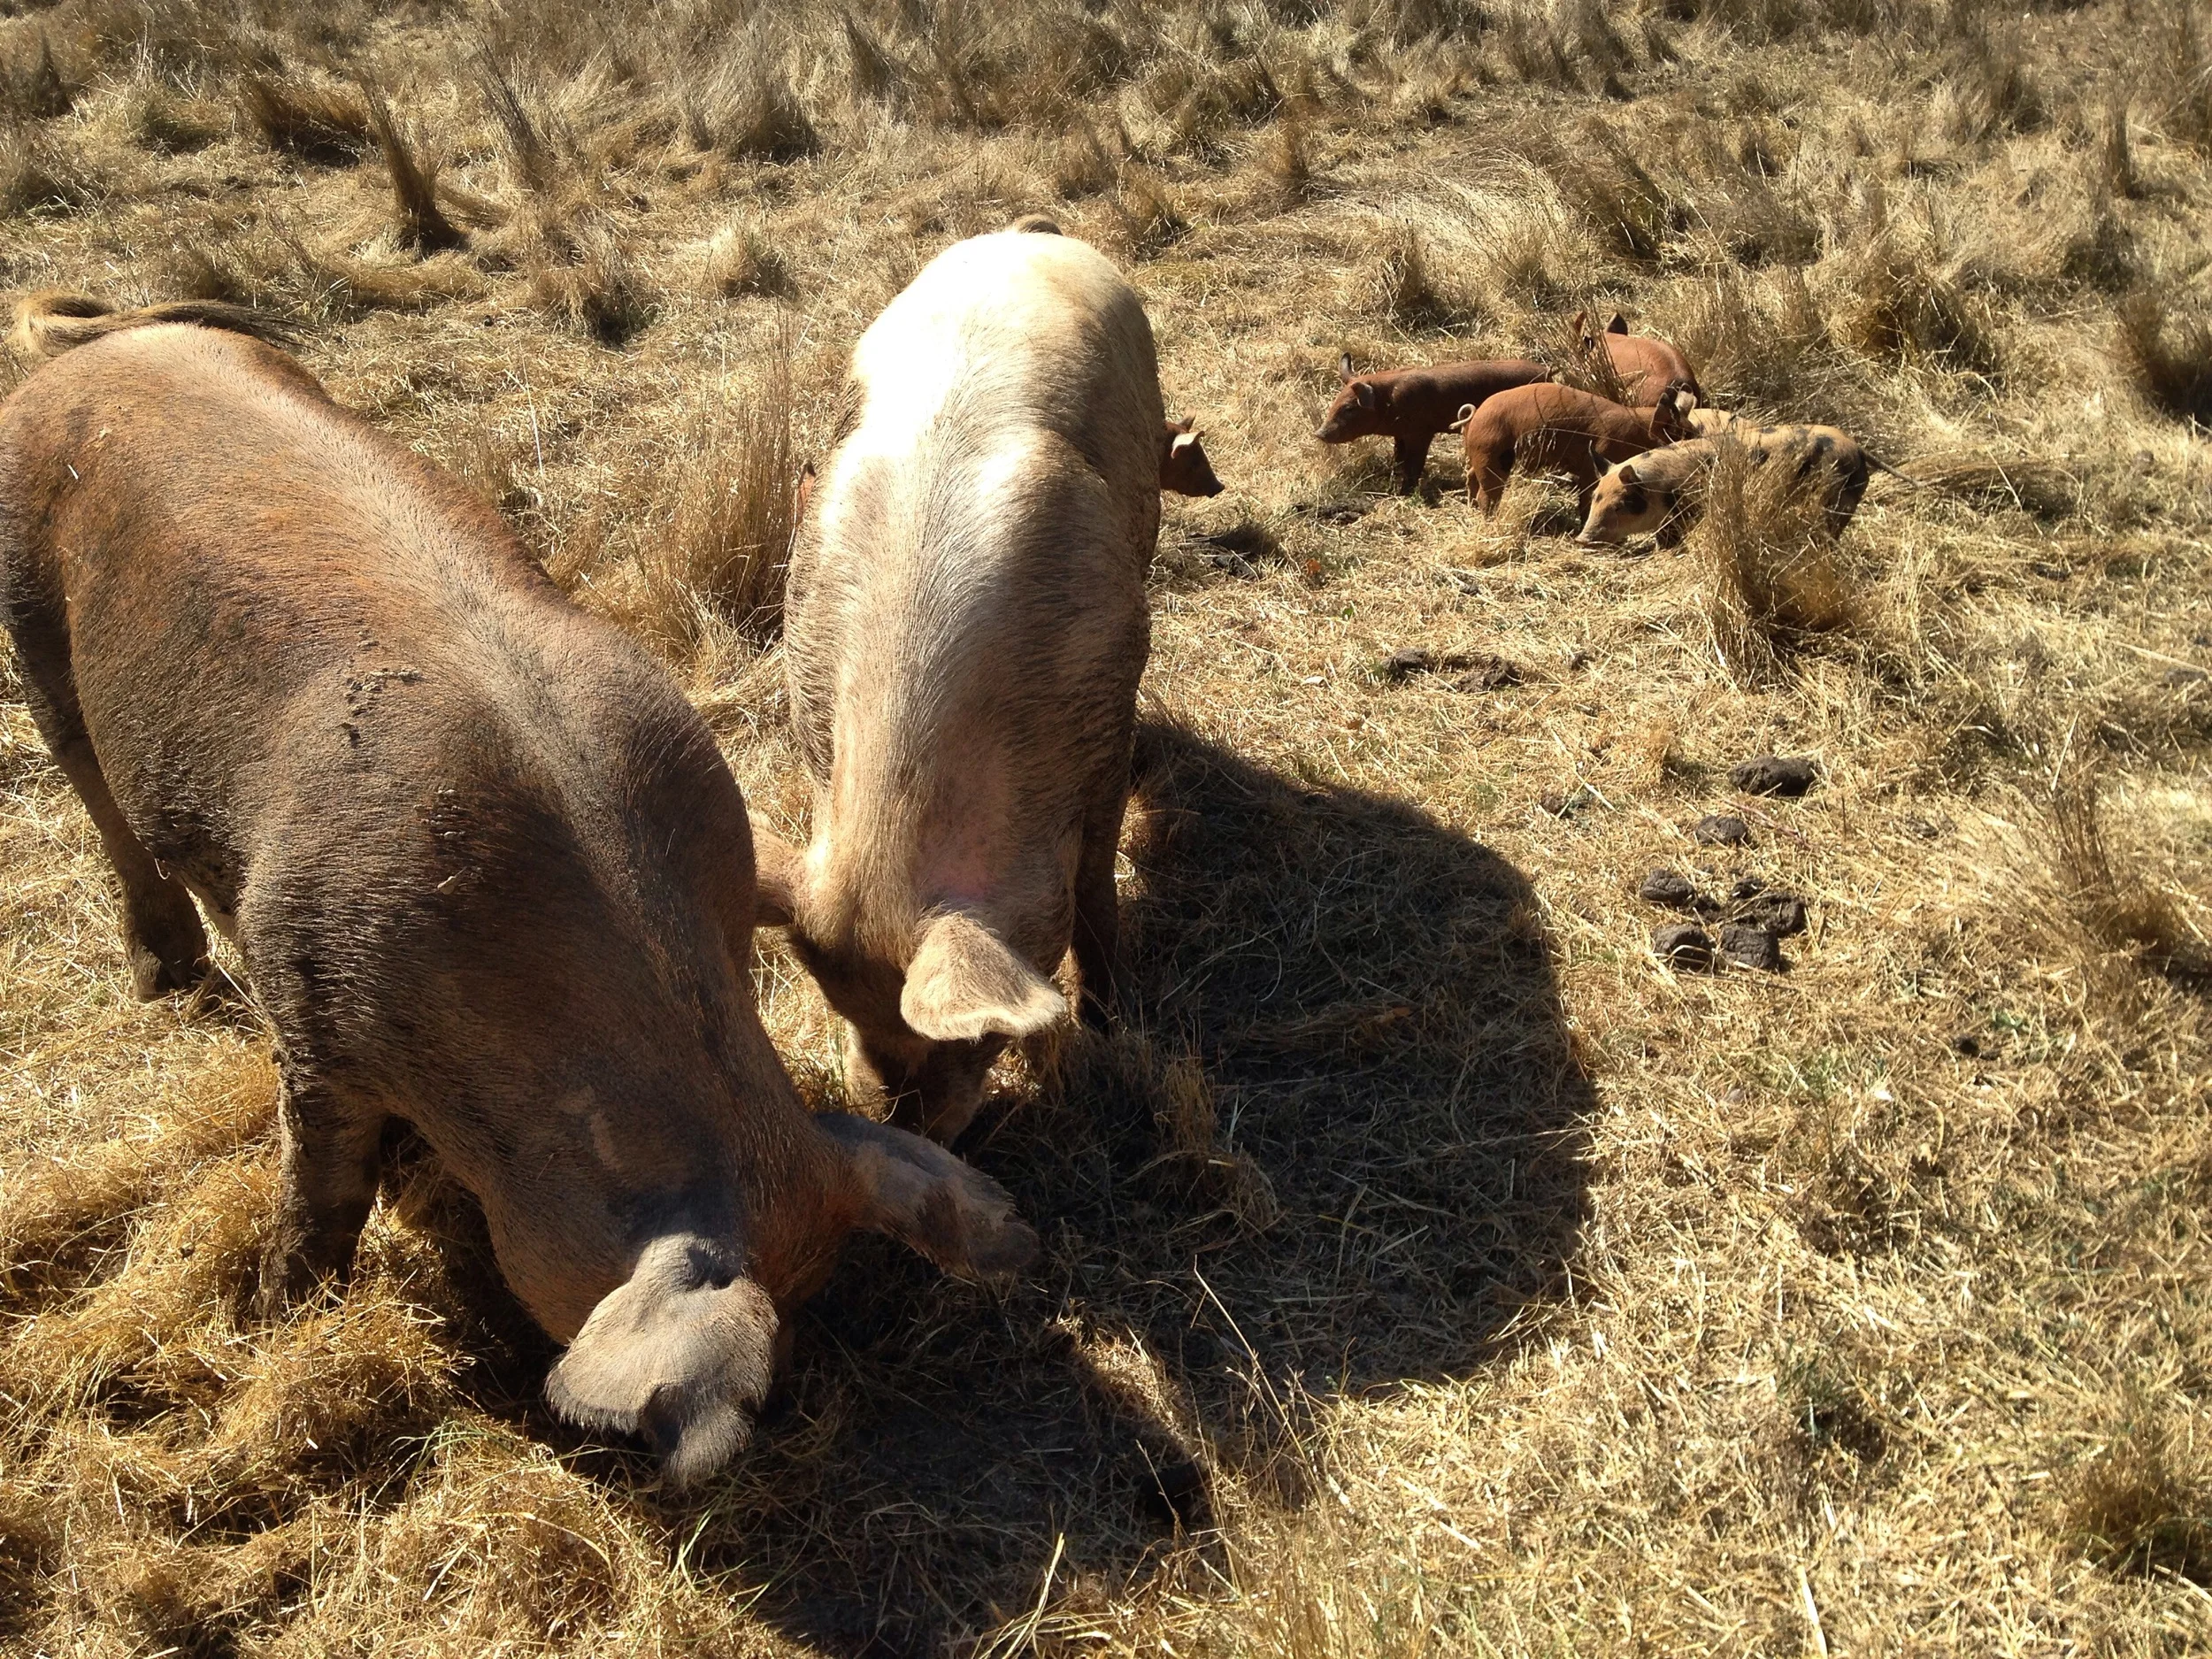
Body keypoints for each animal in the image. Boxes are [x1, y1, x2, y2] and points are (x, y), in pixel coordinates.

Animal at [0, 296, 1038, 1485]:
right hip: (31, 615)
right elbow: (323, 1189)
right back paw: (167, 981)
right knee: (99, 798)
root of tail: (92, 352)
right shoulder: (318, 1016)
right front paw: (278, 1315)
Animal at [754, 229, 1165, 1144]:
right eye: (842, 1005)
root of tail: (1026, 234)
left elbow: (1095, 891)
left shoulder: (1106, 722)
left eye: (976, 1037)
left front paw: (1109, 1025)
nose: (903, 1120)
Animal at [1315, 352, 1554, 493]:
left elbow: (1414, 464)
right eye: (1335, 401)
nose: (1319, 433)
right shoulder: (1401, 435)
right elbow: (1398, 458)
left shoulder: (1421, 433)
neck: (1389, 402)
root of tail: (1548, 374)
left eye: (1349, 408)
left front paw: (1404, 492)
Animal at [1454, 379, 1694, 515]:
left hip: (1482, 454)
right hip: (1491, 453)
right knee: (1488, 492)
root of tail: (1474, 417)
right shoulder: (1595, 461)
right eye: (1683, 435)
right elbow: (1587, 496)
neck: (1638, 434)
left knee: (1471, 475)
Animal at [1576, 419, 1878, 545]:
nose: (1582, 539)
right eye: (1595, 498)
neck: (1662, 488)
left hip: (1837, 499)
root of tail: (1857, 448)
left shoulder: (1689, 511)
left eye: (1620, 505)